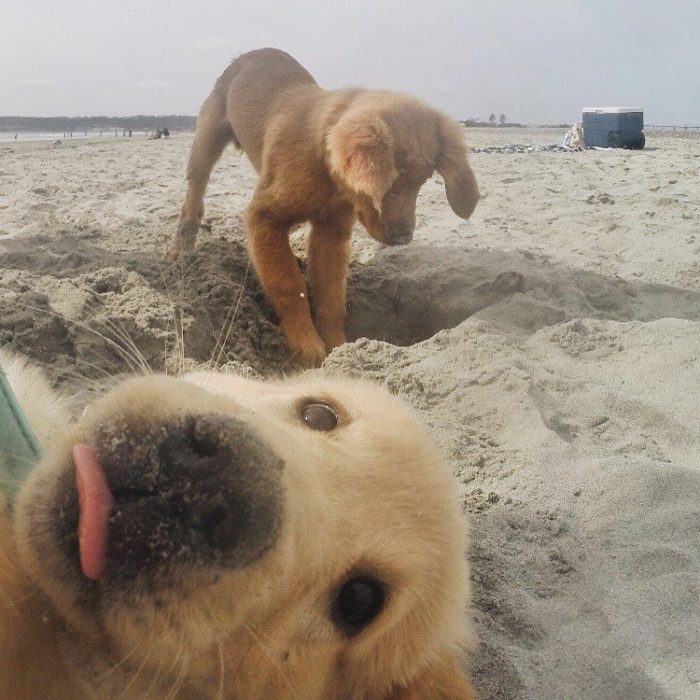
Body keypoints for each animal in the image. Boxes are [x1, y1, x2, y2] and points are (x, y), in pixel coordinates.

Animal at [168, 48, 482, 366]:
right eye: (391, 184)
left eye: (423, 180)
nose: (404, 238)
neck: (323, 162)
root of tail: (251, 54)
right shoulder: (263, 218)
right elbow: (289, 284)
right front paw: (305, 343)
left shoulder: (330, 231)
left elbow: (331, 293)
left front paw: (337, 345)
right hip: (206, 139)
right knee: (193, 199)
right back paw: (181, 251)